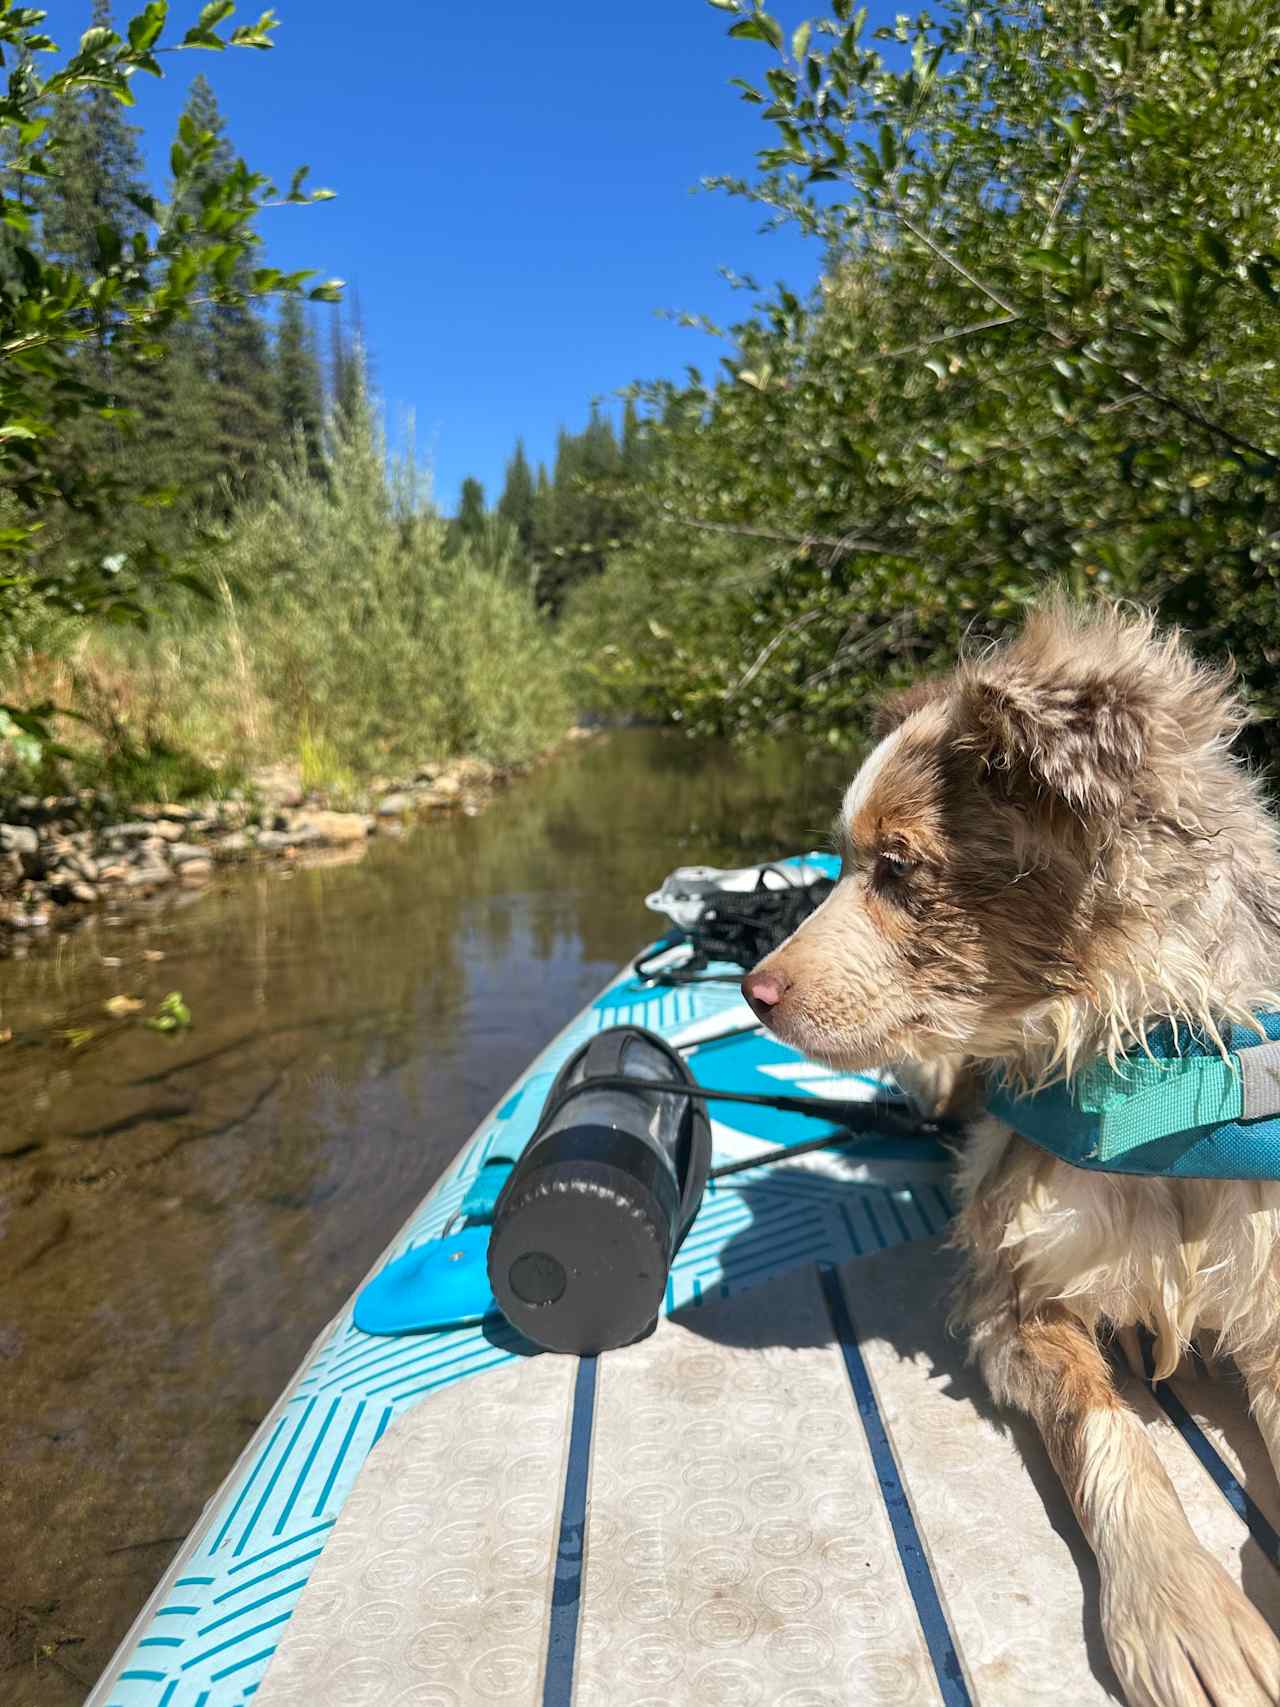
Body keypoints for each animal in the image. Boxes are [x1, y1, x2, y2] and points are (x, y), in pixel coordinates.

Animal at [747, 604, 1280, 1707]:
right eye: (845, 862)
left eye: (897, 867)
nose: (752, 990)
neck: (1153, 1079)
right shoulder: (1013, 1285)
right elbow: (1104, 1429)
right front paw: (1183, 1614)